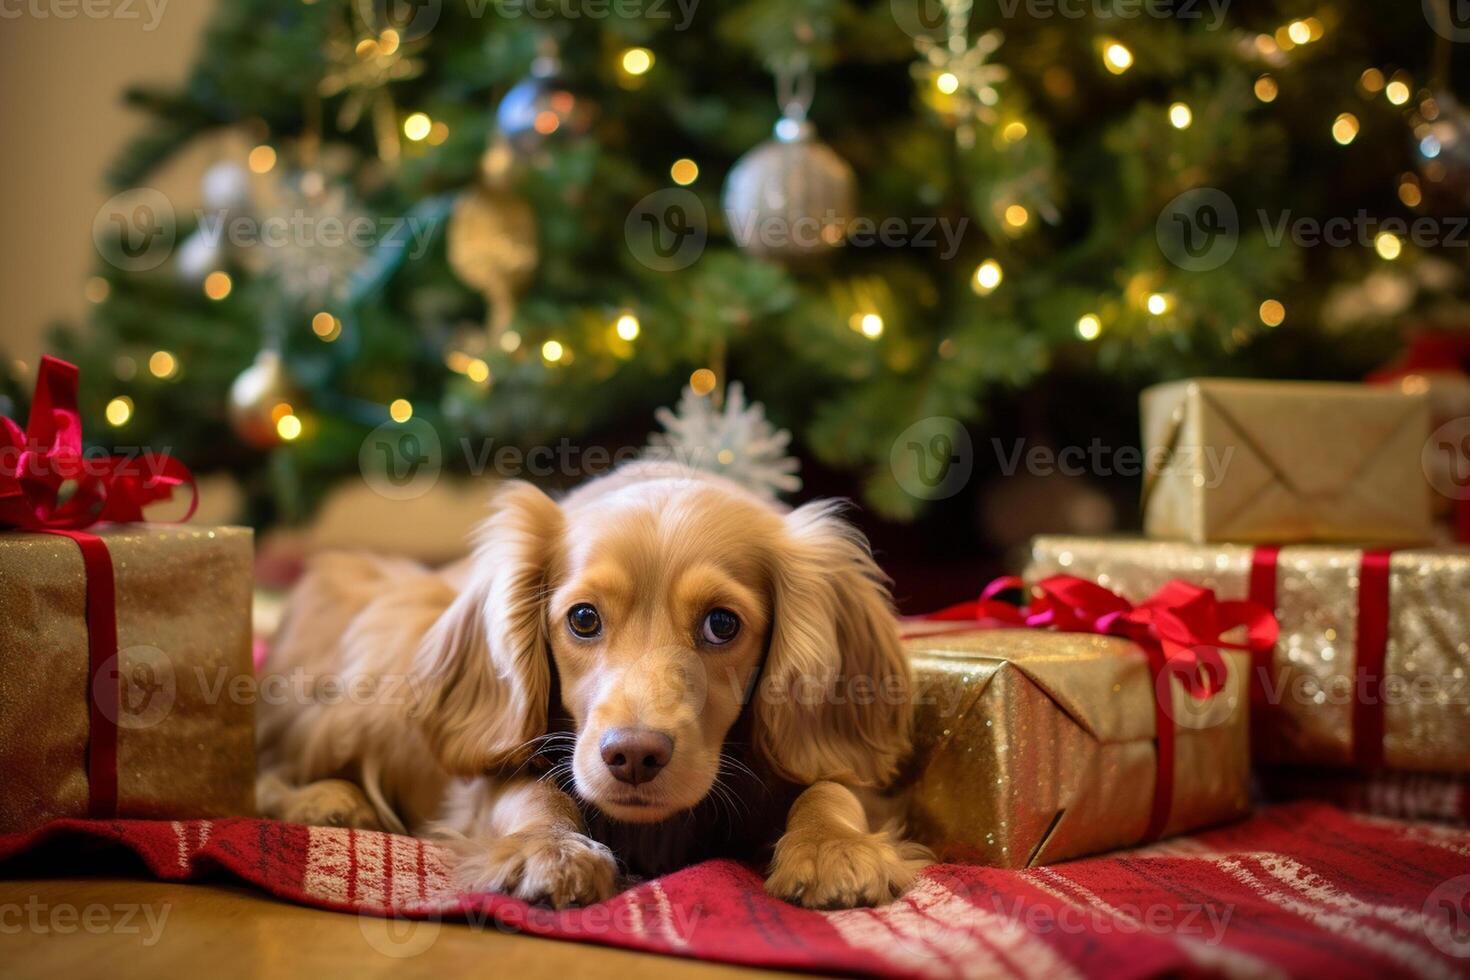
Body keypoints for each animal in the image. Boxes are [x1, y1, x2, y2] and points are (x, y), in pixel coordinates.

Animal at [257, 464, 923, 910]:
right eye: (582, 618)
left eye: (723, 624)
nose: (633, 756)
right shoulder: (487, 780)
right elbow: (528, 794)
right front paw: (549, 851)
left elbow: (831, 789)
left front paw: (833, 847)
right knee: (266, 767)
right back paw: (325, 801)